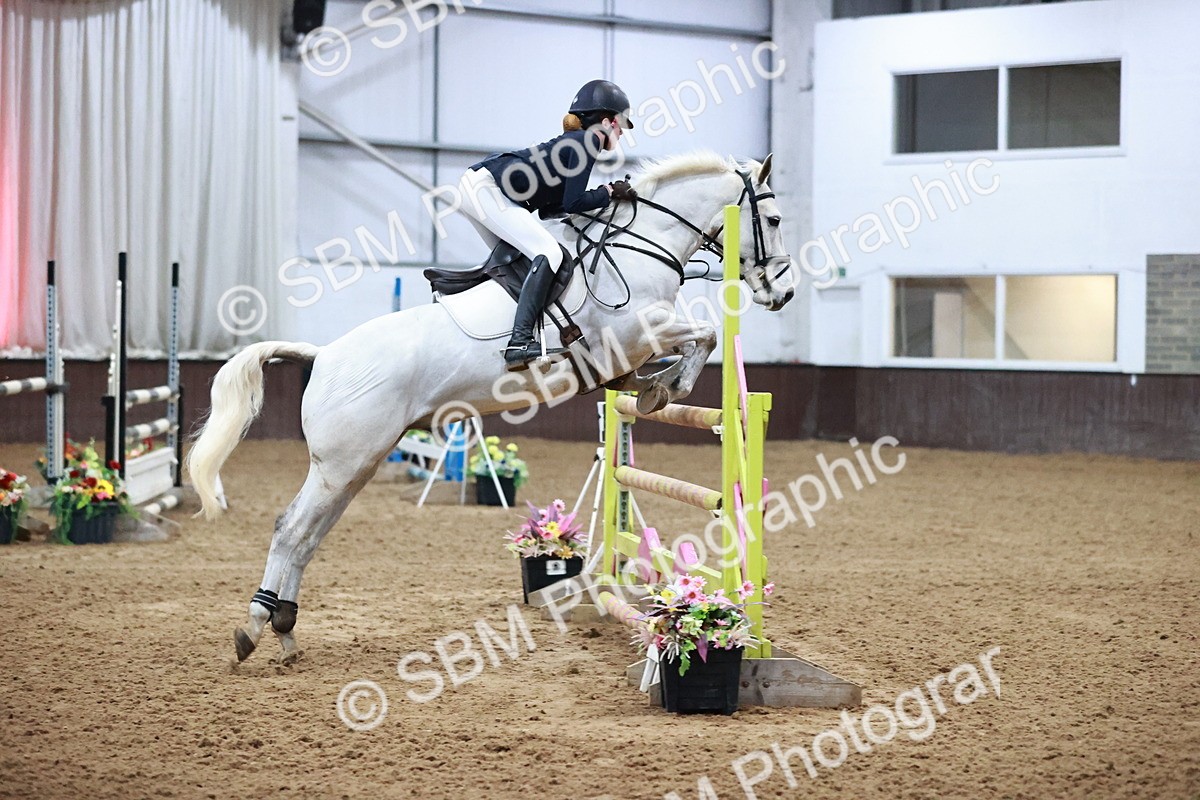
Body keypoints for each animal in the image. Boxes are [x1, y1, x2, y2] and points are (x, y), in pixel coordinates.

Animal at [186, 150, 797, 664]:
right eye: (772, 220)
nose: (783, 295)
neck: (640, 246)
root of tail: (325, 354)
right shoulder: (637, 331)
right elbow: (706, 336)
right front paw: (666, 388)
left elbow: (688, 349)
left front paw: (656, 387)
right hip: (341, 464)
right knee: (291, 530)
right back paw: (256, 627)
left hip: (354, 465)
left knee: (307, 536)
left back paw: (285, 630)